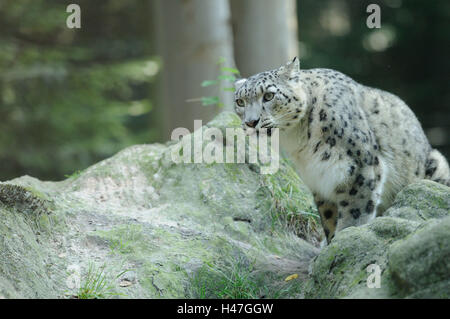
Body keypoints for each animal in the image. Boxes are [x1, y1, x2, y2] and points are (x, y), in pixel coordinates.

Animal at [234, 57, 448, 245]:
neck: (299, 141)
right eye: (240, 101)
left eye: (269, 95)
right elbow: (329, 217)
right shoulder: (319, 179)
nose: (251, 122)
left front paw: (346, 238)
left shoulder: (360, 168)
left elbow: (355, 211)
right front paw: (329, 244)